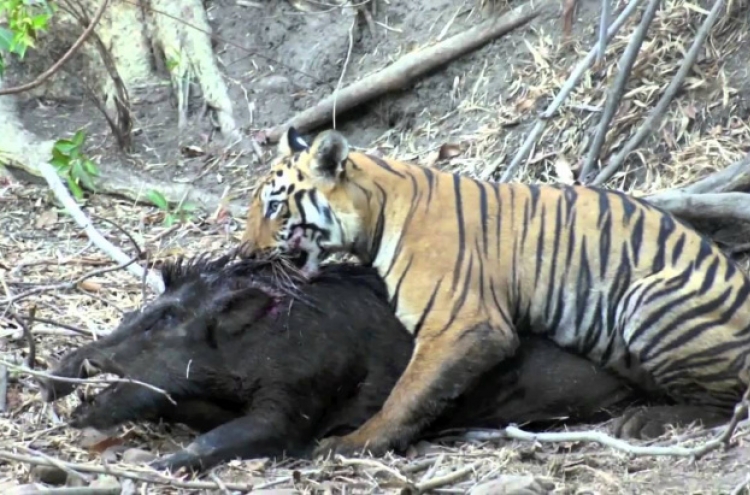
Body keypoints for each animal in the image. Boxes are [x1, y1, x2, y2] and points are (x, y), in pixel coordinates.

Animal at [242, 127, 750, 458]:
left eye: (274, 206)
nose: (245, 253)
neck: (376, 210)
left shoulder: (463, 324)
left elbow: (407, 393)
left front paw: (356, 443)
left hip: (648, 301)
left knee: (725, 402)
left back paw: (646, 421)